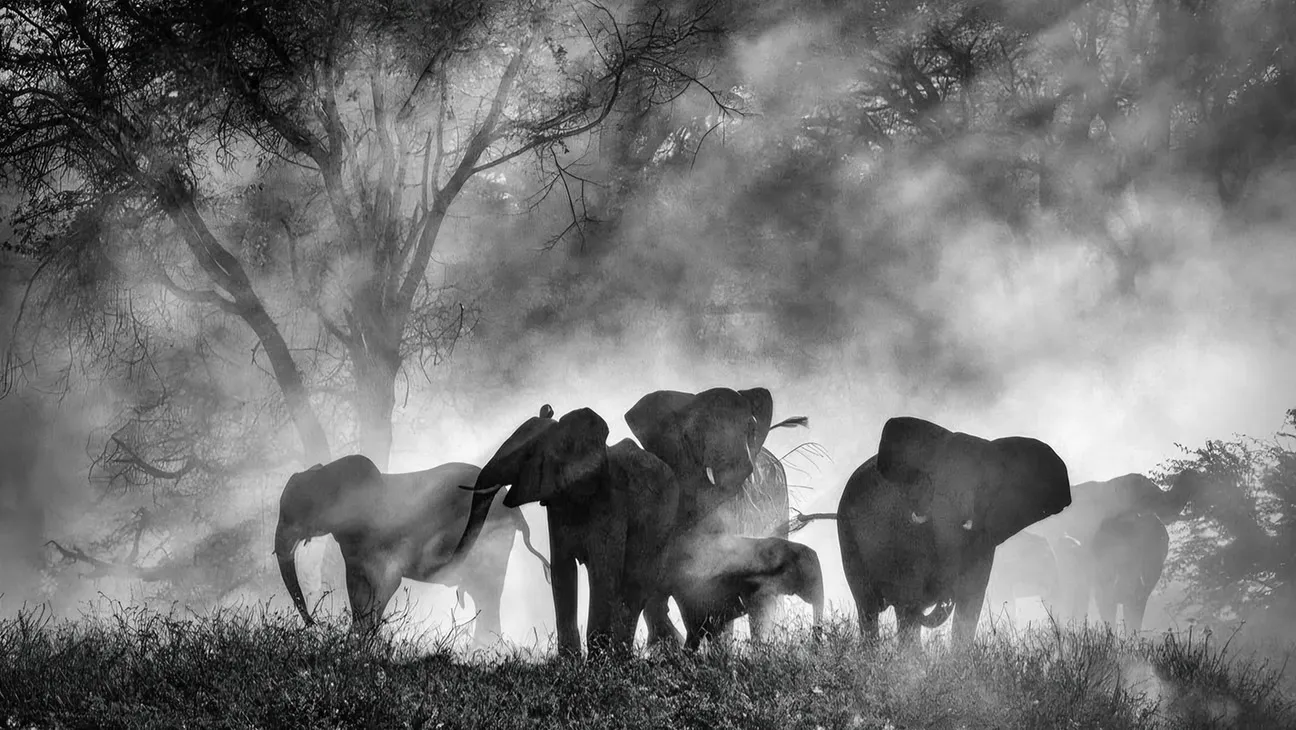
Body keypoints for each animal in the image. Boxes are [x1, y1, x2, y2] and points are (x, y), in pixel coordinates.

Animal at [274, 454, 550, 641]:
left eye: (301, 511)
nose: (314, 624)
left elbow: (387, 583)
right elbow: (356, 589)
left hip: (491, 540)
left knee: (488, 593)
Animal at [454, 405, 680, 657]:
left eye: (528, 455)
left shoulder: (612, 503)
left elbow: (603, 572)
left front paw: (597, 661)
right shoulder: (557, 504)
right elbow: (562, 571)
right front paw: (569, 660)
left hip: (662, 525)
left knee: (636, 585)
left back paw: (623, 657)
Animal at [837, 416, 1072, 648]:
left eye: (983, 486)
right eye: (933, 479)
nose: (946, 595)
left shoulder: (985, 539)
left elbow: (971, 601)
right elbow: (909, 599)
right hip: (848, 536)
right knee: (868, 608)